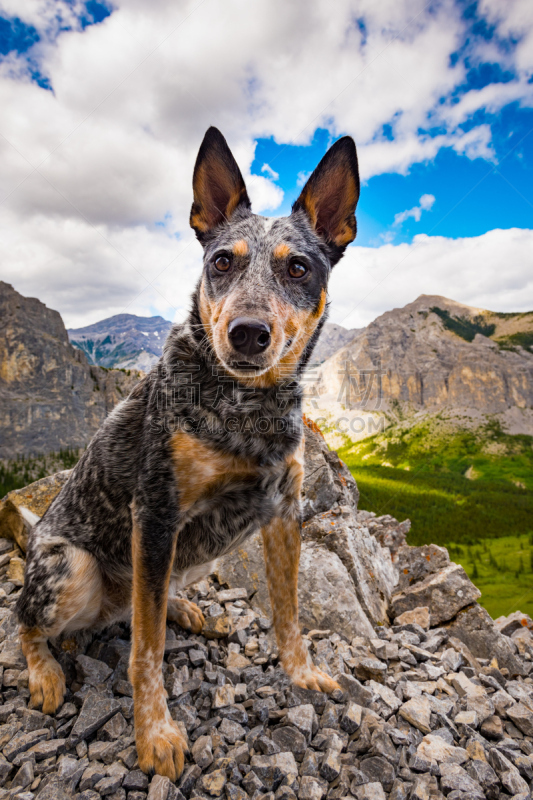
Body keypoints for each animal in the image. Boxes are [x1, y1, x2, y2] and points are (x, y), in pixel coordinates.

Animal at [16, 128, 360, 780]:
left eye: (299, 267)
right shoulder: (156, 512)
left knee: (146, 603)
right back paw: (46, 672)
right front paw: (154, 734)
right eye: (222, 261)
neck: (249, 409)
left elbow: (289, 612)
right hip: (71, 568)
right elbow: (146, 653)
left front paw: (303, 675)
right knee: (28, 621)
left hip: (192, 556)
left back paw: (182, 608)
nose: (248, 331)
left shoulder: (283, 513)